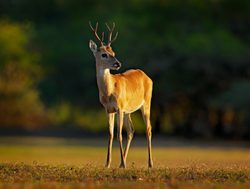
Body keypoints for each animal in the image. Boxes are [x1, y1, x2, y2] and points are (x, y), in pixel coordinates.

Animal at [89, 22, 153, 168]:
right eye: (104, 54)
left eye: (113, 53)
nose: (118, 63)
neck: (109, 91)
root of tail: (147, 76)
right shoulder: (109, 110)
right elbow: (111, 134)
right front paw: (107, 163)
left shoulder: (119, 108)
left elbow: (119, 135)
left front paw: (123, 164)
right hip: (129, 111)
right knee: (131, 131)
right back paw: (121, 162)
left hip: (146, 104)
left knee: (148, 129)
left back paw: (150, 163)